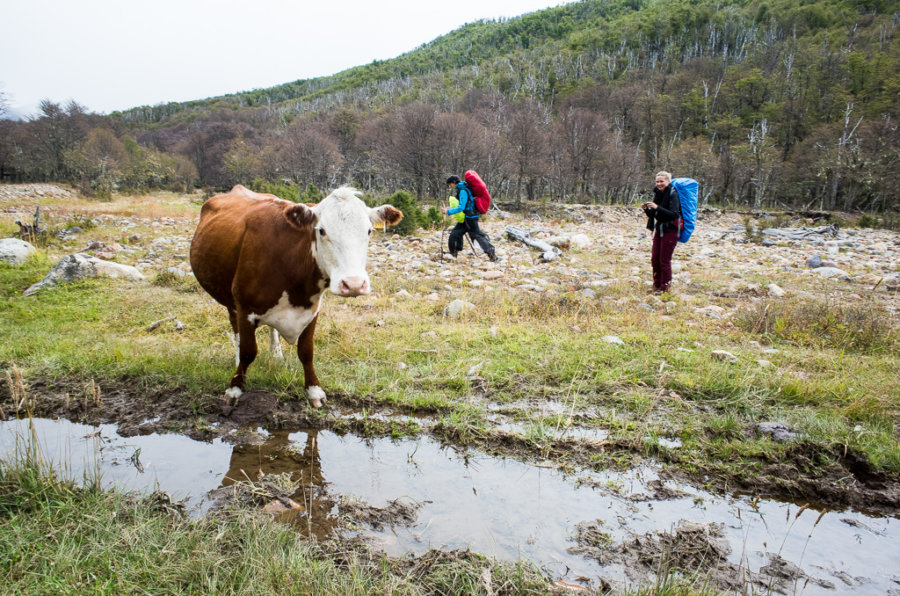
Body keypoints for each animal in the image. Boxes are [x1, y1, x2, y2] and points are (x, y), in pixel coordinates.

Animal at [192, 184, 402, 408]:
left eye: (369, 230)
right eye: (321, 230)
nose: (353, 284)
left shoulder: (311, 310)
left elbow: (306, 352)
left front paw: (314, 390)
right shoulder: (245, 308)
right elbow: (248, 351)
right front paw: (235, 388)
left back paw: (276, 353)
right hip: (230, 299)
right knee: (236, 328)